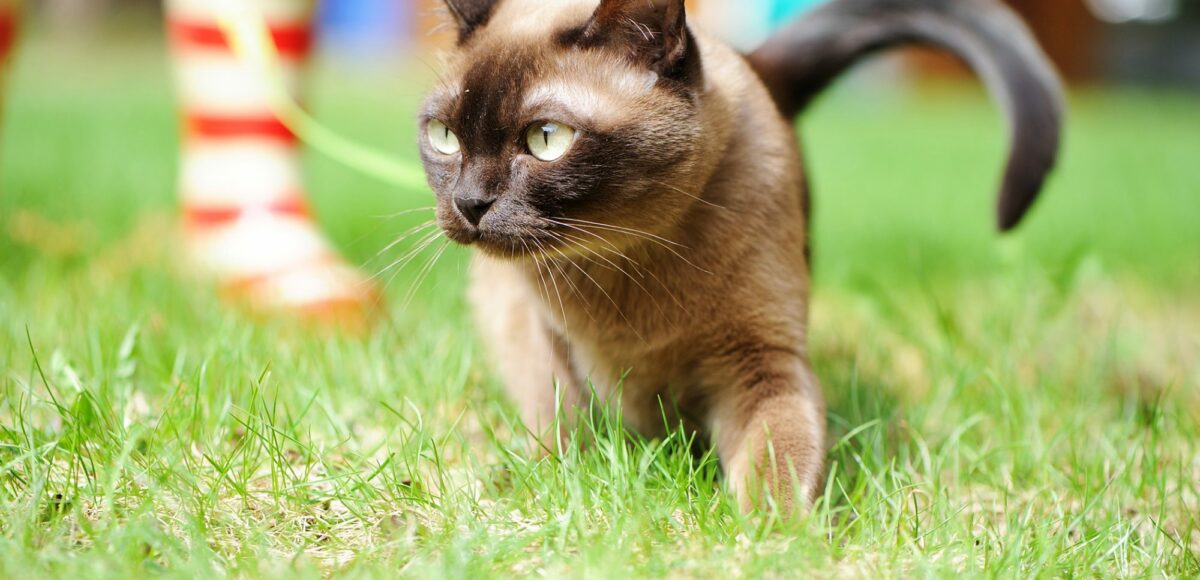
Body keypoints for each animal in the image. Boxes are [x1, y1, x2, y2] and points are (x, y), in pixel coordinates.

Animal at [420, 0, 1060, 511]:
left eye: (546, 139)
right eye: (444, 136)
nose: (470, 203)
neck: (624, 265)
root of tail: (752, 59)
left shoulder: (761, 362)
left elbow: (777, 462)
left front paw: (770, 539)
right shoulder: (545, 337)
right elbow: (566, 427)